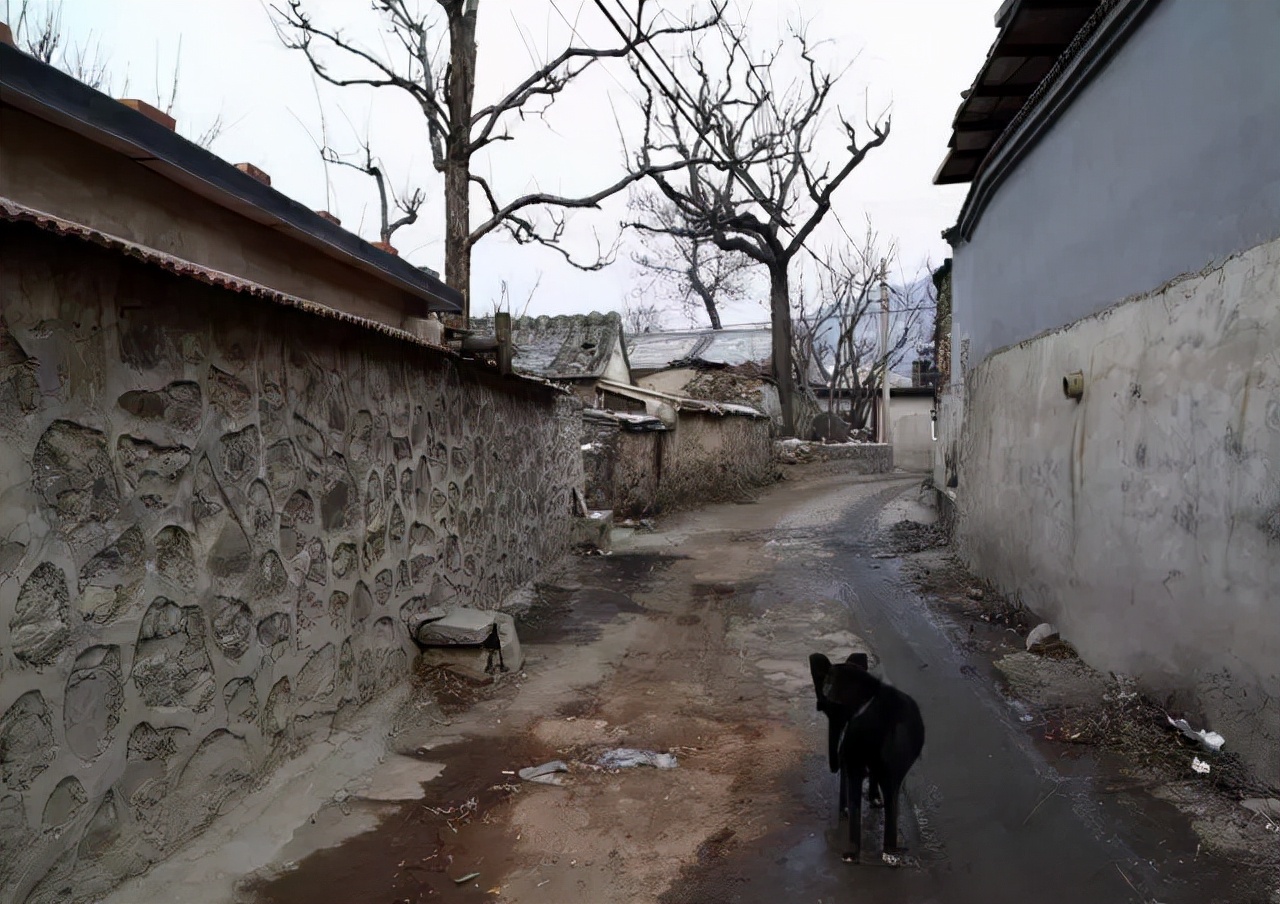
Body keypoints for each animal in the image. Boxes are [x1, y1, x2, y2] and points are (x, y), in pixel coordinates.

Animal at [808, 647, 921, 860]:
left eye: (825, 706)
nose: (833, 765)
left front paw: (846, 809)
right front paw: (874, 799)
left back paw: (852, 853)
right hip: (895, 767)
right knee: (891, 806)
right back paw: (889, 850)